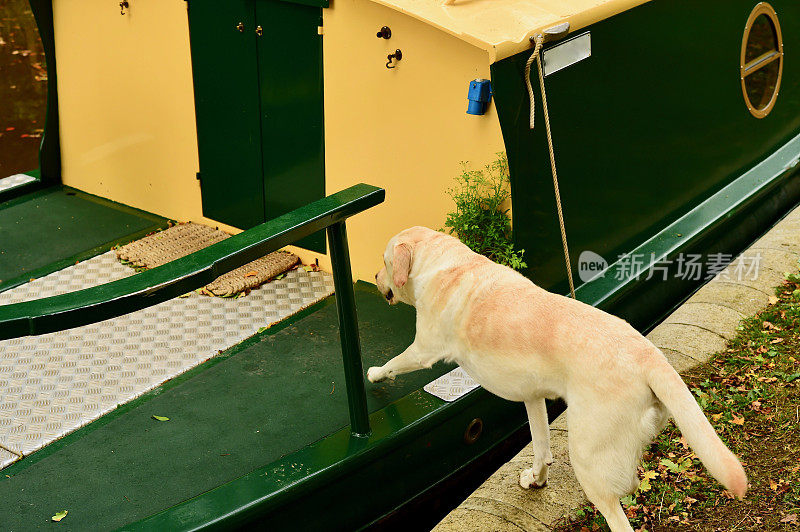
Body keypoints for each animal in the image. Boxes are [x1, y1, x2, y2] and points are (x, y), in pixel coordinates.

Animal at [366, 225, 748, 532]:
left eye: (384, 261)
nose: (374, 278)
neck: (444, 261)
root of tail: (647, 354)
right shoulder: (532, 396)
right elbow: (541, 447)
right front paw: (537, 479)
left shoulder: (424, 348)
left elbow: (394, 362)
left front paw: (374, 374)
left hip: (588, 458)